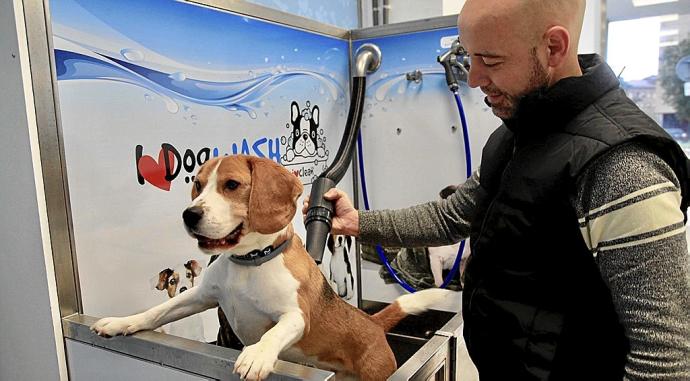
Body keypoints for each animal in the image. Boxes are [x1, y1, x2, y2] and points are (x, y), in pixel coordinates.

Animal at [91, 155, 448, 380]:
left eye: (232, 185)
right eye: (199, 185)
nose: (189, 215)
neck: (248, 261)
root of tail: (372, 323)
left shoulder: (296, 316)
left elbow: (274, 332)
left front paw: (257, 355)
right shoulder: (200, 296)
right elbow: (156, 312)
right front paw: (120, 322)